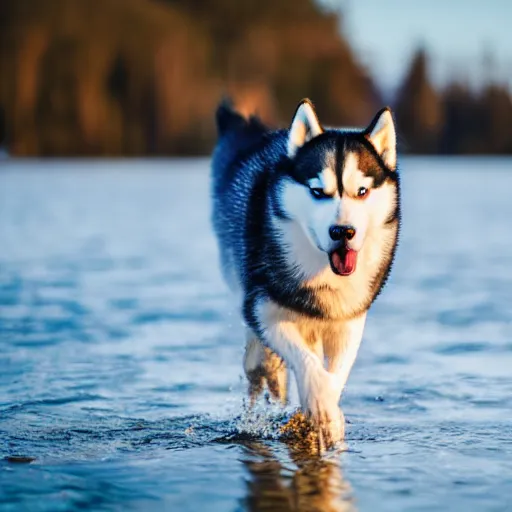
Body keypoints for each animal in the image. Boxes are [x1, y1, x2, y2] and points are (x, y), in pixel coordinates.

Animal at [210, 97, 398, 448]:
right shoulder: (265, 308)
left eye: (361, 191)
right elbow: (305, 361)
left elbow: (335, 375)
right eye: (318, 191)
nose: (342, 232)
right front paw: (320, 406)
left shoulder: (349, 318)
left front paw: (327, 414)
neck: (323, 275)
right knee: (258, 353)